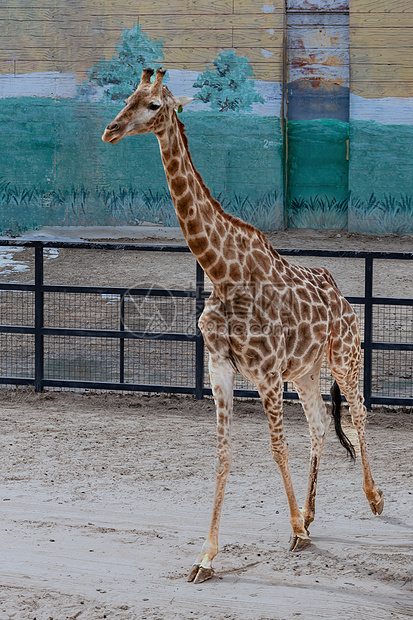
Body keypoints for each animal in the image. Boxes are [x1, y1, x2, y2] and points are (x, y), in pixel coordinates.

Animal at [102, 70, 384, 584]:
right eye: (128, 97)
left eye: (154, 105)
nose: (110, 130)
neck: (222, 273)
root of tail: (344, 298)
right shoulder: (221, 368)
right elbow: (224, 454)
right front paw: (206, 556)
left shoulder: (267, 373)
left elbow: (277, 448)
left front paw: (294, 530)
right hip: (307, 372)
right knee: (319, 427)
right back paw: (311, 513)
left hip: (344, 356)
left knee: (357, 413)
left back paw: (372, 499)